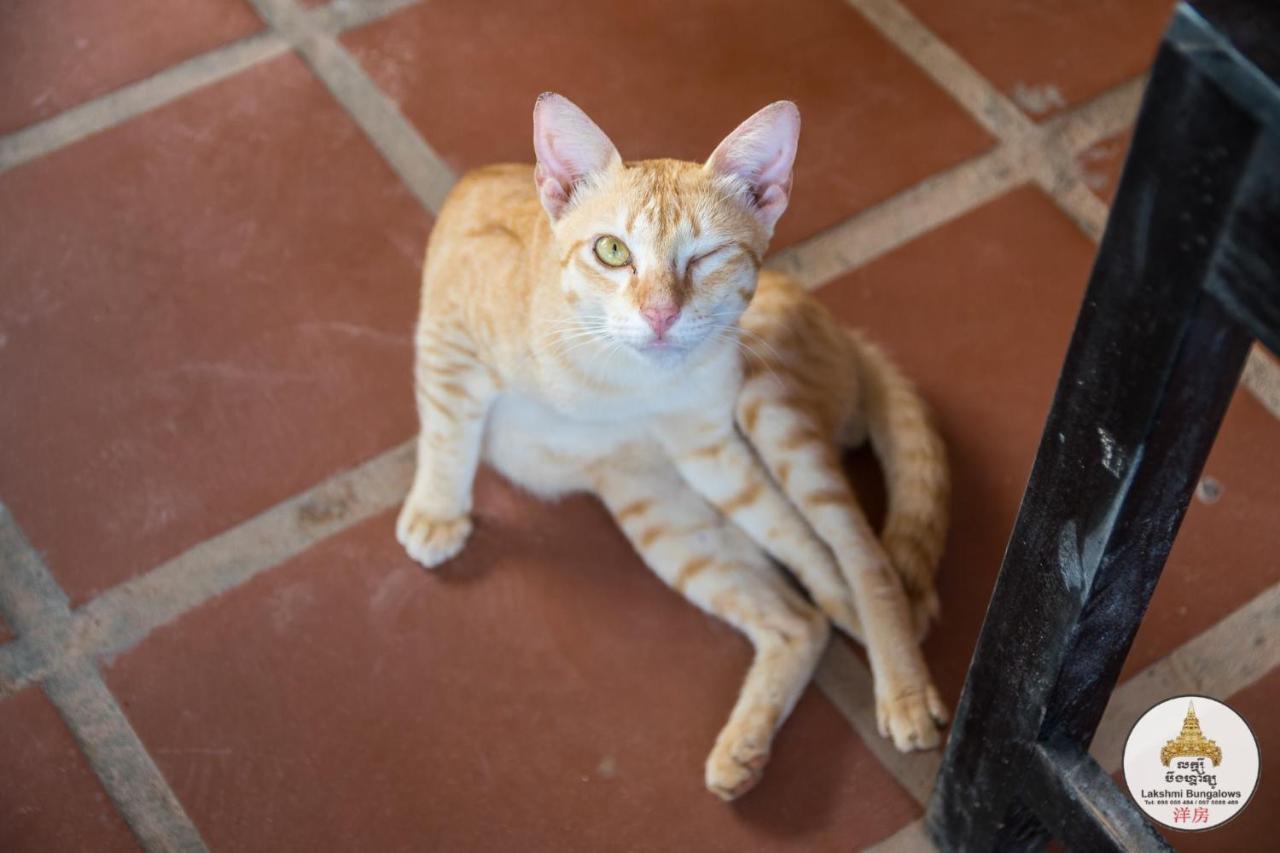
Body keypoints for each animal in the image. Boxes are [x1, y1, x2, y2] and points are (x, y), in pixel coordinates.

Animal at [399, 94, 952, 799]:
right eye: (612, 250)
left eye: (707, 256)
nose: (660, 314)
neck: (611, 380)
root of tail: (849, 336)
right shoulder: (448, 335)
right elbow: (447, 429)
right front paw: (438, 510)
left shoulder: (710, 444)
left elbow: (821, 554)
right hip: (666, 518)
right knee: (802, 616)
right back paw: (749, 744)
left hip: (767, 412)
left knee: (861, 557)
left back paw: (901, 680)